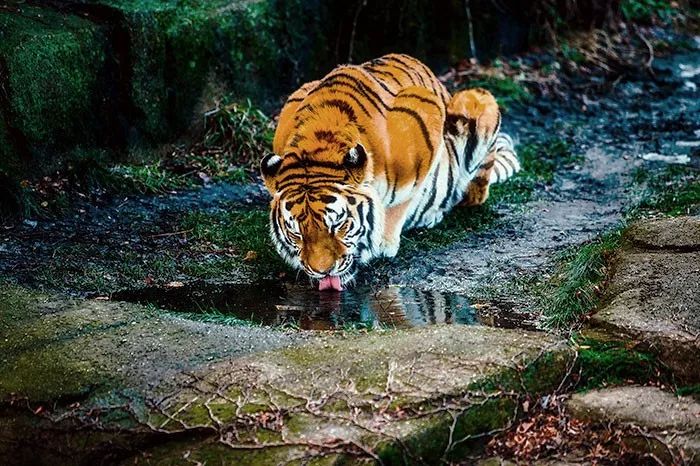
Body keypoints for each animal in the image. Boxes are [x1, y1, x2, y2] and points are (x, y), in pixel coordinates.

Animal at [262, 52, 520, 290]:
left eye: (338, 225)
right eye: (296, 233)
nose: (323, 271)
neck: (319, 142)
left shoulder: (426, 117)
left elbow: (401, 201)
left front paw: (384, 243)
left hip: (476, 99)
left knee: (474, 192)